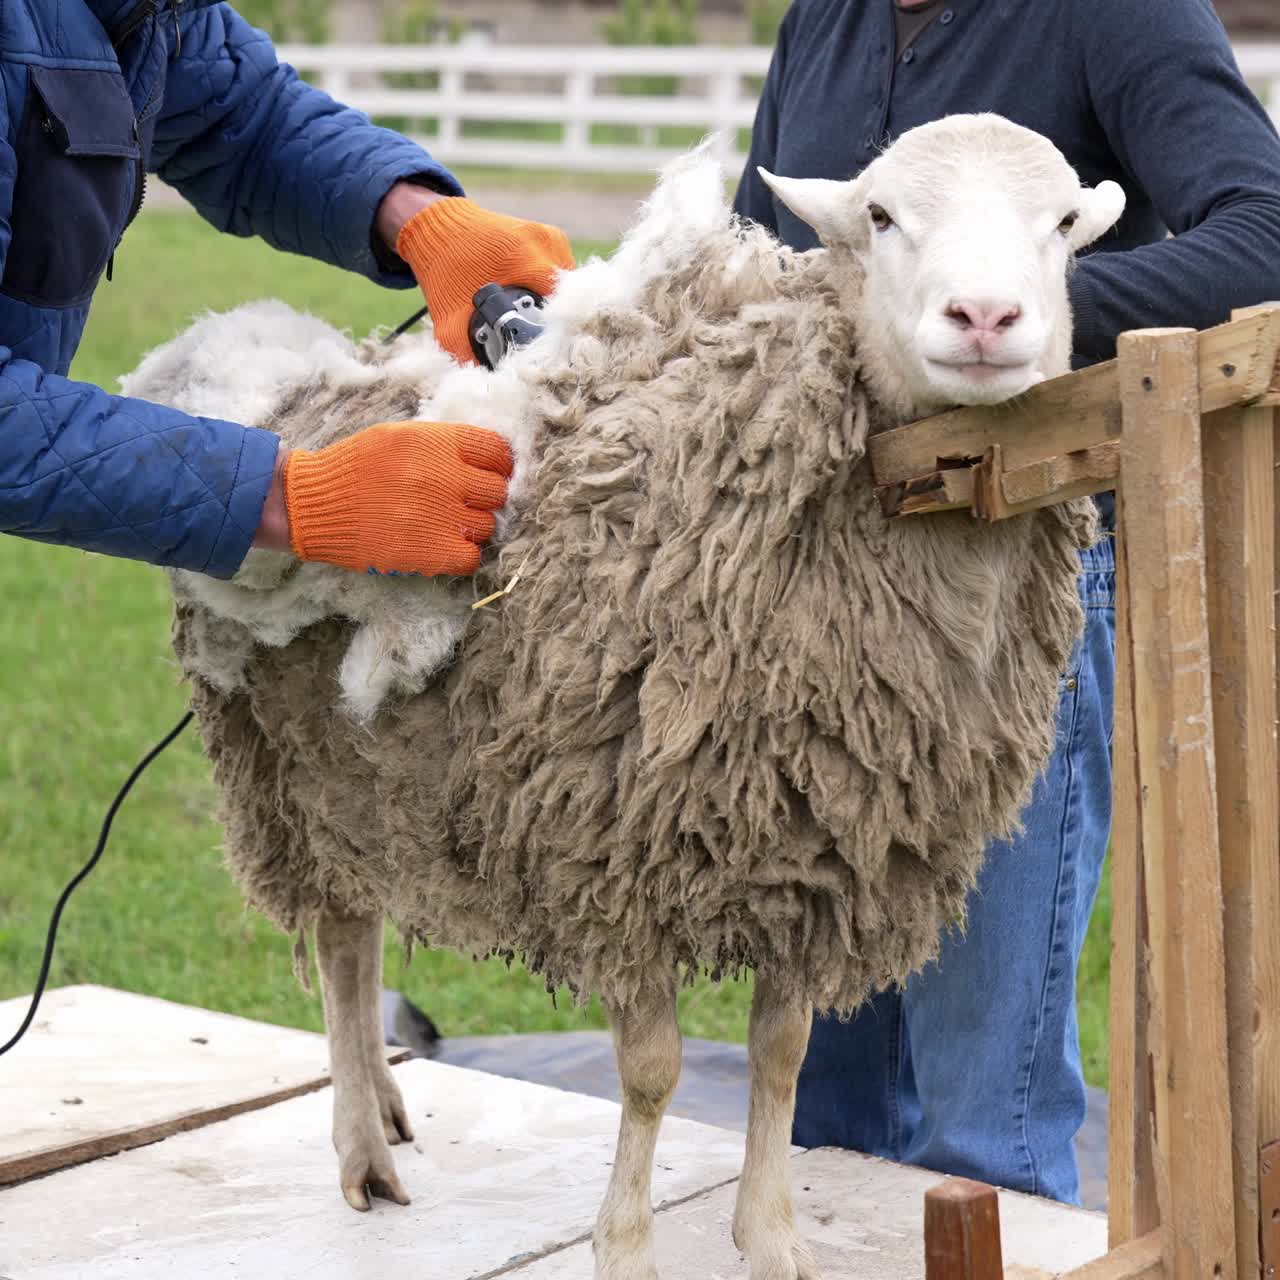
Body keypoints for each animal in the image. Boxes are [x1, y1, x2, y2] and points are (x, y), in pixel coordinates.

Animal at [125, 115, 1125, 1280]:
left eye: (1063, 222)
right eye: (878, 216)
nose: (985, 319)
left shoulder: (820, 857)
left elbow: (780, 1051)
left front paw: (769, 1233)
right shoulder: (615, 855)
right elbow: (651, 1073)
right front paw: (626, 1245)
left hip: (369, 782)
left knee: (363, 941)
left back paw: (387, 1098)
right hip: (289, 773)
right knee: (338, 942)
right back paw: (363, 1147)